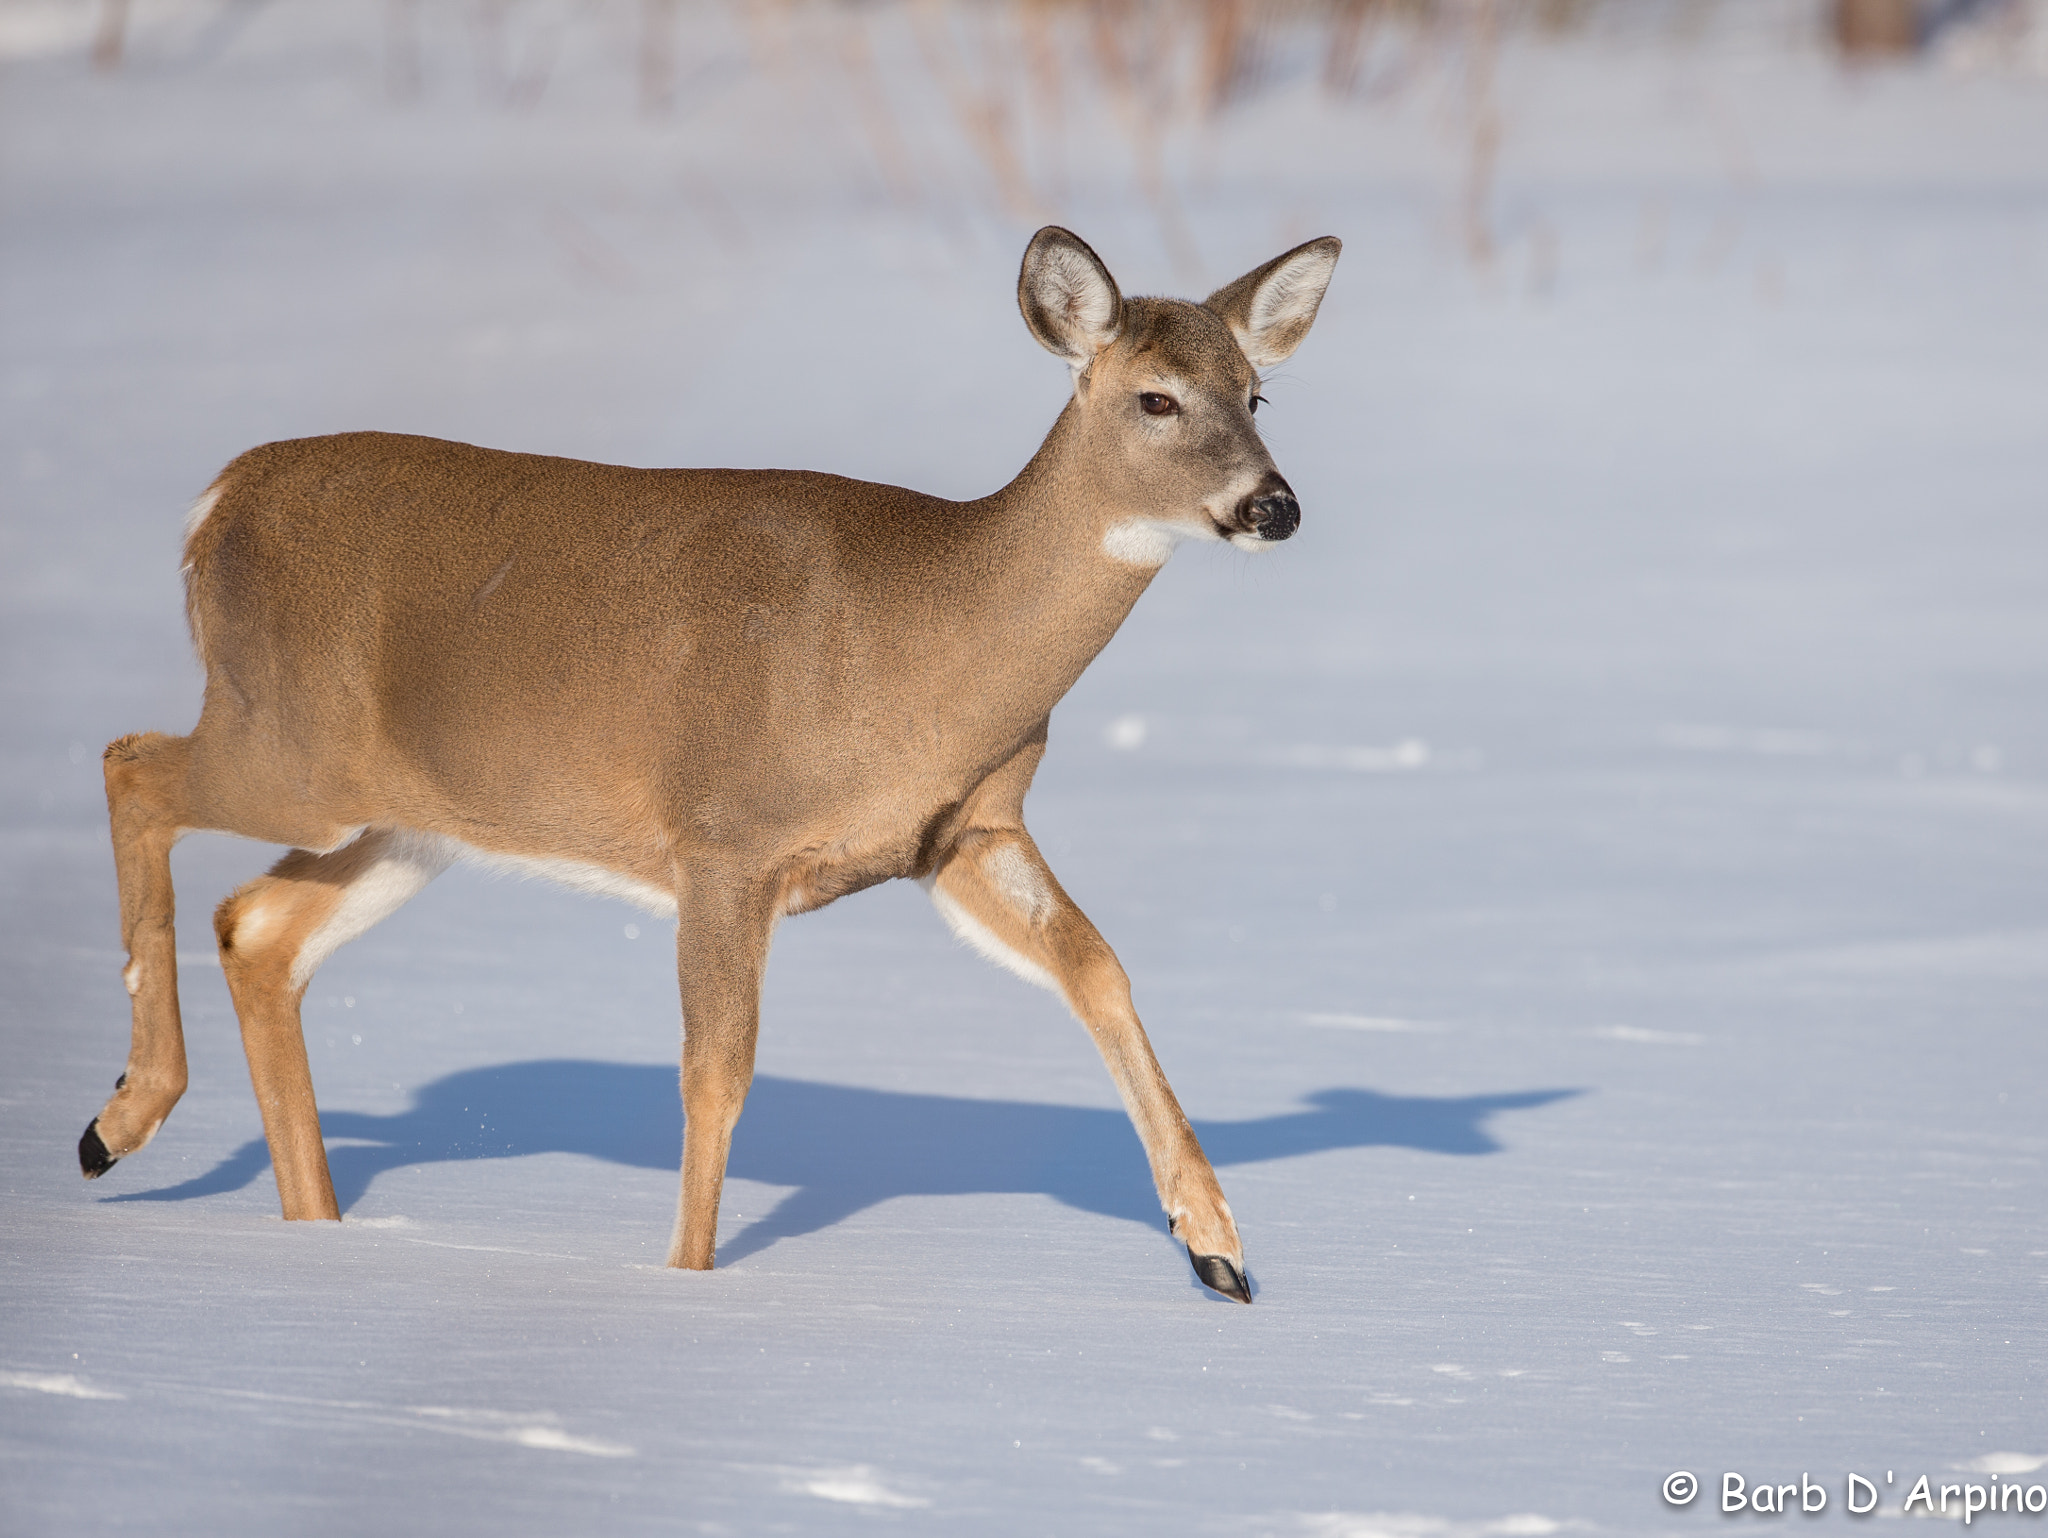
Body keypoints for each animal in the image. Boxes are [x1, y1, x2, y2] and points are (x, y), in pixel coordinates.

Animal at [79, 228, 1343, 1302]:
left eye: (1256, 393)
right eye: (1155, 397)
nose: (1272, 504)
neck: (922, 641)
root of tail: (214, 504)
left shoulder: (961, 830)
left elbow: (1099, 967)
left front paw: (1216, 1246)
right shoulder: (726, 835)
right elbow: (716, 1070)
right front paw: (687, 1289)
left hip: (403, 819)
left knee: (256, 924)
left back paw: (304, 1227)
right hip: (290, 746)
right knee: (130, 762)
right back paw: (122, 1119)